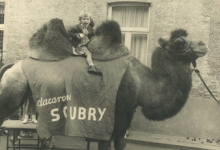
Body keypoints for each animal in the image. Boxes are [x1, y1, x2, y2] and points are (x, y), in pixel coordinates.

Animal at [0, 18, 207, 149]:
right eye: (178, 42)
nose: (203, 45)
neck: (141, 84)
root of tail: (10, 67)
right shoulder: (110, 119)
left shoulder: (126, 117)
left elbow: (121, 143)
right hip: (10, 95)